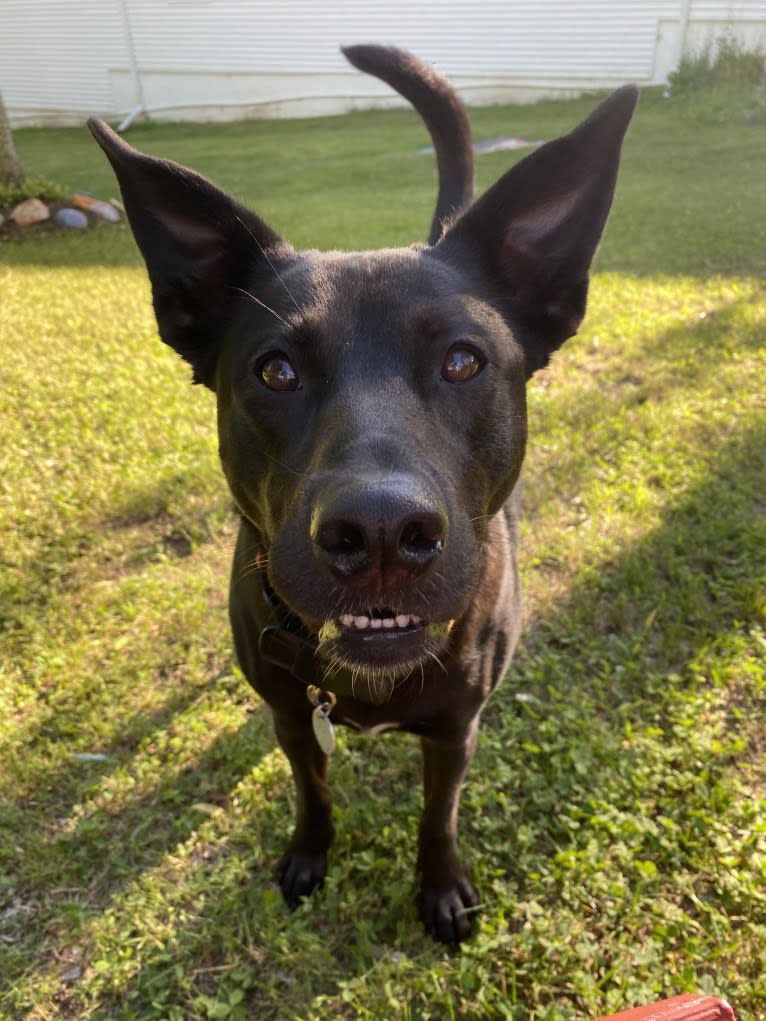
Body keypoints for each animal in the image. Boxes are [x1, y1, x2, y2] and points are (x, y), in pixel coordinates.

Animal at [88, 45, 637, 939]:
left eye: (463, 360)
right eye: (276, 370)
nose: (380, 533)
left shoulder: (455, 728)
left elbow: (438, 815)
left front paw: (441, 886)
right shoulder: (290, 715)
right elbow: (311, 792)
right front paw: (309, 855)